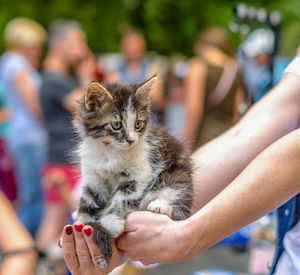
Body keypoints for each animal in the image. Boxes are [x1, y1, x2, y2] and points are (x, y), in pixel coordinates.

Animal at [72, 76, 192, 262]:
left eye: (138, 124)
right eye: (116, 125)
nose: (131, 140)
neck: (110, 152)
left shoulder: (139, 175)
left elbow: (121, 200)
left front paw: (111, 223)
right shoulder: (94, 177)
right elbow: (89, 199)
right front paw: (83, 219)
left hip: (177, 175)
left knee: (177, 206)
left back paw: (160, 206)